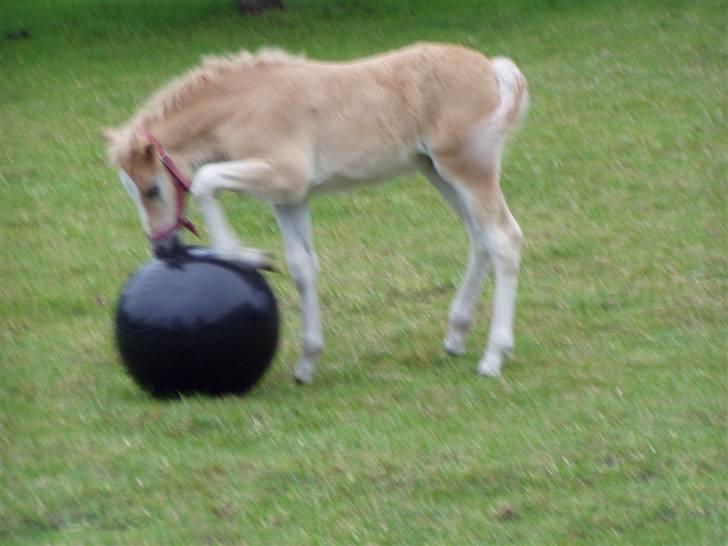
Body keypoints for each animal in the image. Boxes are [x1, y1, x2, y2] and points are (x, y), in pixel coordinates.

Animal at [105, 43, 528, 382]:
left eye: (151, 189)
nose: (163, 250)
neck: (244, 105)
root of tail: (491, 67)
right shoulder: (290, 196)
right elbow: (302, 266)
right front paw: (307, 363)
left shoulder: (285, 175)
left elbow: (206, 180)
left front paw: (248, 256)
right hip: (436, 171)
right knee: (479, 238)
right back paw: (457, 334)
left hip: (468, 169)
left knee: (504, 239)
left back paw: (494, 356)